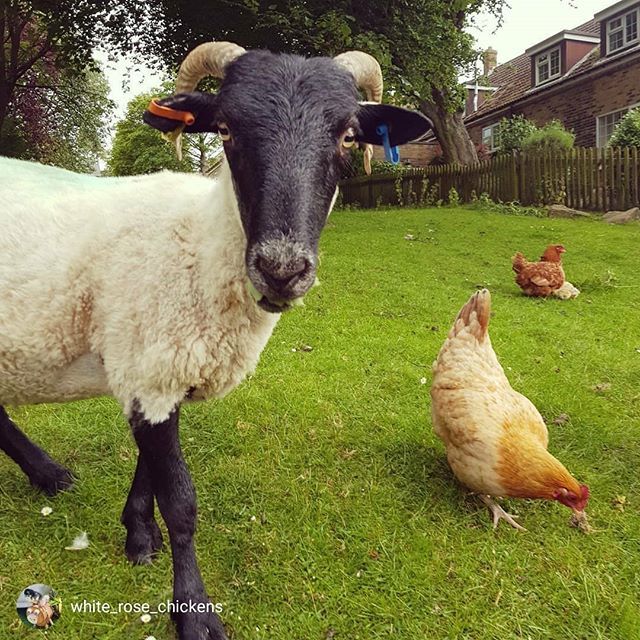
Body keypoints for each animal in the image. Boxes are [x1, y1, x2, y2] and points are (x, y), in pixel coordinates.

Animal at [0, 42, 432, 640]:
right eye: (224, 128)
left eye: (349, 135)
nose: (281, 270)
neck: (198, 241)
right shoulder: (151, 365)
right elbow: (180, 501)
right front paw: (194, 612)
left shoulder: (157, 368)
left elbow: (150, 470)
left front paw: (139, 536)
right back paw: (49, 474)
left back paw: (50, 476)